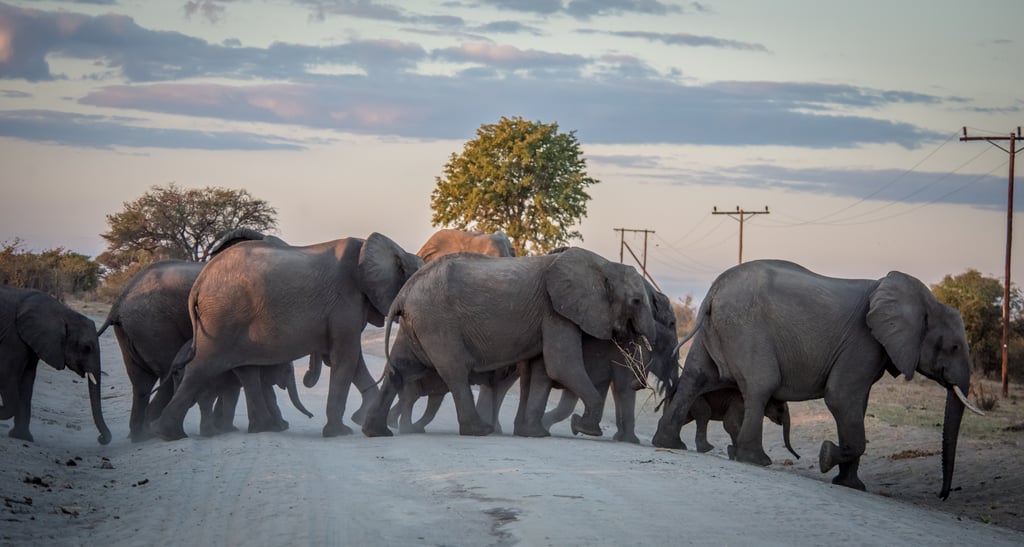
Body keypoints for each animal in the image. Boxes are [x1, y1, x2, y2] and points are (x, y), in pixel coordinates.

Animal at [0, 286, 111, 445]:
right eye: (87, 347)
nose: (100, 438)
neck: (63, 312)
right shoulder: (14, 337)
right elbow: (7, 374)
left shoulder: (33, 339)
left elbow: (27, 379)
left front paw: (22, 437)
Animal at [150, 232, 422, 440]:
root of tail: (199, 283)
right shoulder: (345, 302)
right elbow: (346, 357)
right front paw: (340, 432)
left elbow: (350, 360)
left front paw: (364, 420)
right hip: (221, 319)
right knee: (202, 367)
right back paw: (170, 434)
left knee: (242, 370)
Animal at [362, 247, 657, 438]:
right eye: (636, 301)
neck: (605, 264)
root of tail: (404, 292)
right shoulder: (557, 311)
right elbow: (561, 365)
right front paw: (585, 429)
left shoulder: (550, 314)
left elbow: (542, 370)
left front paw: (535, 434)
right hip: (437, 321)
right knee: (455, 371)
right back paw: (478, 431)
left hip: (418, 323)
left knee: (399, 369)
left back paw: (376, 432)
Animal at [651, 259, 984, 499]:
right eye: (954, 347)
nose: (943, 495)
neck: (925, 300)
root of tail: (714, 290)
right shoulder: (864, 342)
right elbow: (840, 398)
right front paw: (826, 457)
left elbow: (857, 405)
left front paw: (850, 485)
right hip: (747, 329)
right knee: (760, 386)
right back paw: (755, 460)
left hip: (716, 329)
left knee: (695, 378)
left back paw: (669, 444)